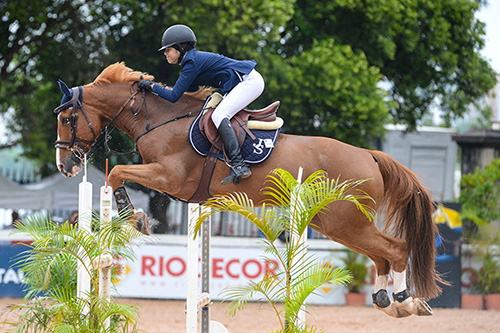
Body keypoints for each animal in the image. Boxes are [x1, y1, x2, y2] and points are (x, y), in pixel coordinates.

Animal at [54, 61, 444, 316]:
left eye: (67, 118)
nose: (65, 166)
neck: (162, 119)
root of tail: (370, 155)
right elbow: (117, 173)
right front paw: (134, 217)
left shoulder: (169, 177)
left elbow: (117, 172)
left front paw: (133, 217)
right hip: (335, 223)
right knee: (380, 255)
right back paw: (388, 303)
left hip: (345, 221)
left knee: (395, 249)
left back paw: (405, 300)